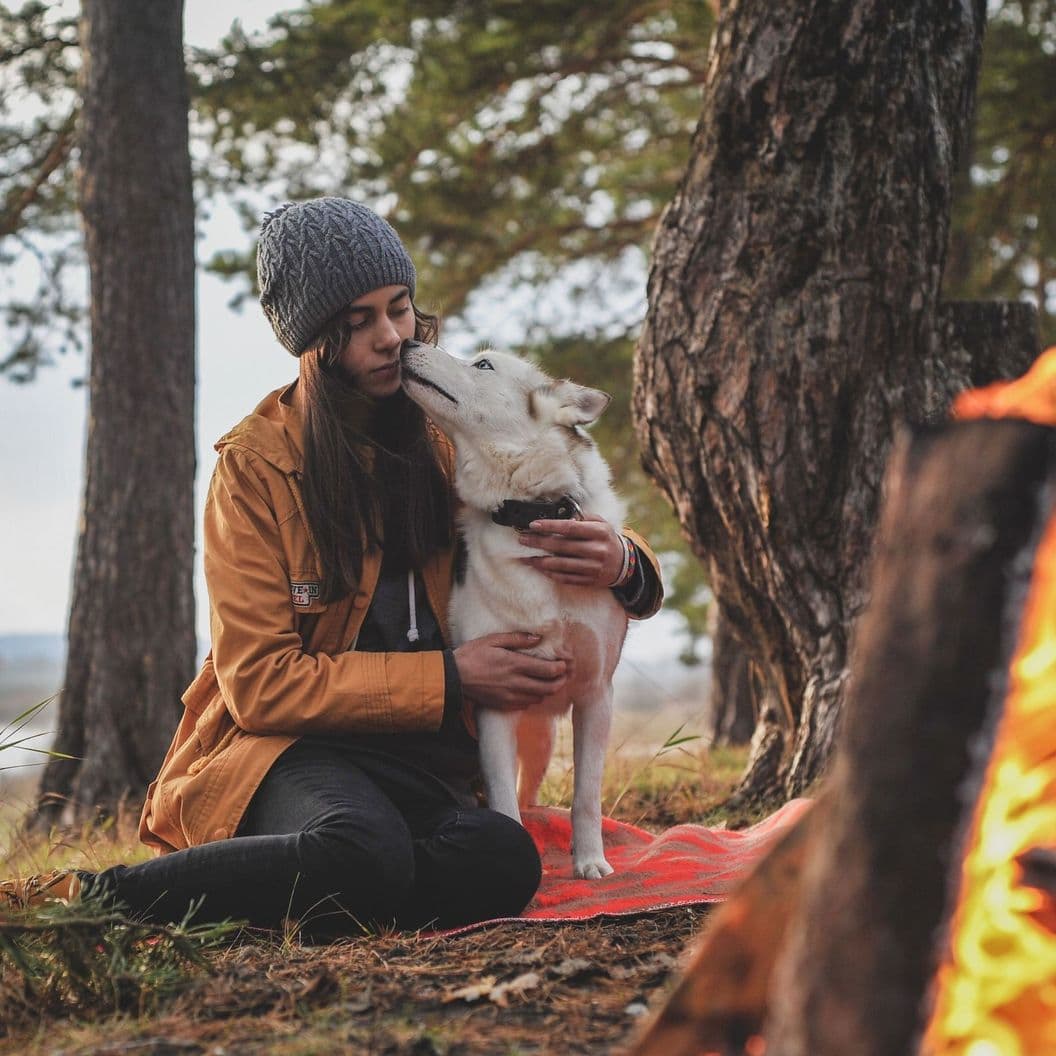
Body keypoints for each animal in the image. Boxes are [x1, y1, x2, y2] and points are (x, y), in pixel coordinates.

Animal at [397, 342, 625, 878]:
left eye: (483, 365)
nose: (407, 344)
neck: (530, 516)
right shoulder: (496, 705)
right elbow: (503, 805)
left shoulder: (595, 696)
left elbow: (586, 796)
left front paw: (590, 862)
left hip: (543, 741)